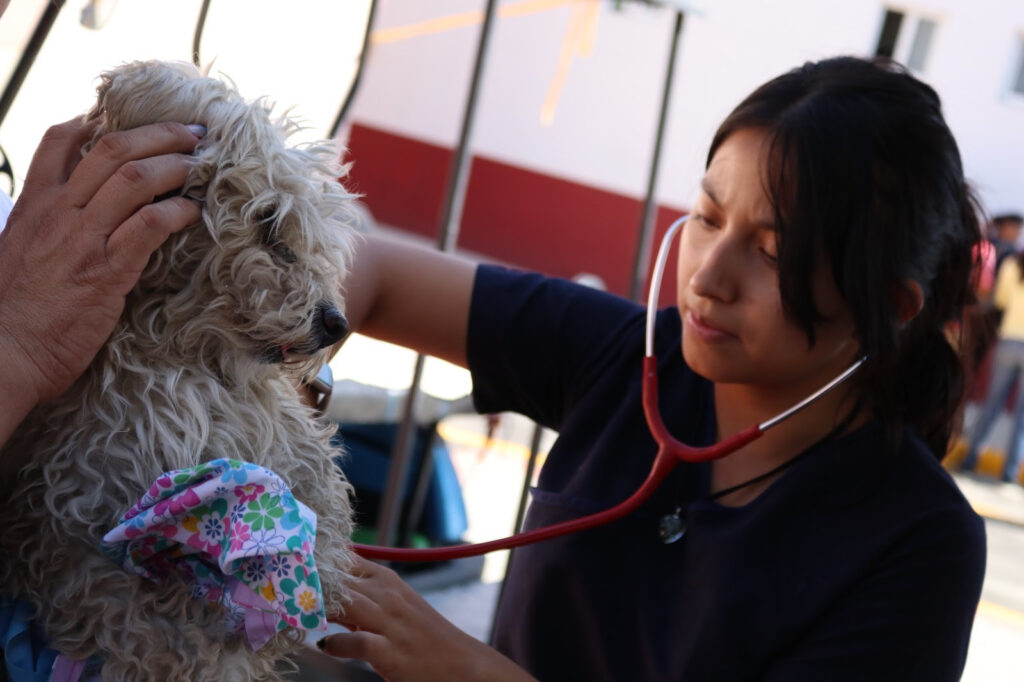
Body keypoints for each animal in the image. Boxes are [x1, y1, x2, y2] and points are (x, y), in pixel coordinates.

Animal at [0, 61, 360, 675]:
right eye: (269, 224)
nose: (336, 323)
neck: (172, 354)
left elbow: (326, 510)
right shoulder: (60, 519)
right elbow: (129, 617)